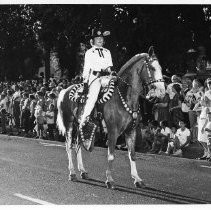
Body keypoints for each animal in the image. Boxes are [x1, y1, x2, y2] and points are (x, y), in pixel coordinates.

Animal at [56, 46, 165, 189]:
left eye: (161, 68)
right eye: (152, 68)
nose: (161, 92)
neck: (123, 97)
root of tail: (65, 91)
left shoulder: (131, 131)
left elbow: (132, 154)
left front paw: (137, 179)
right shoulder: (113, 131)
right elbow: (111, 155)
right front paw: (109, 180)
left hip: (80, 125)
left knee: (78, 145)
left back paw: (83, 171)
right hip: (68, 123)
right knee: (69, 145)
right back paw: (72, 173)